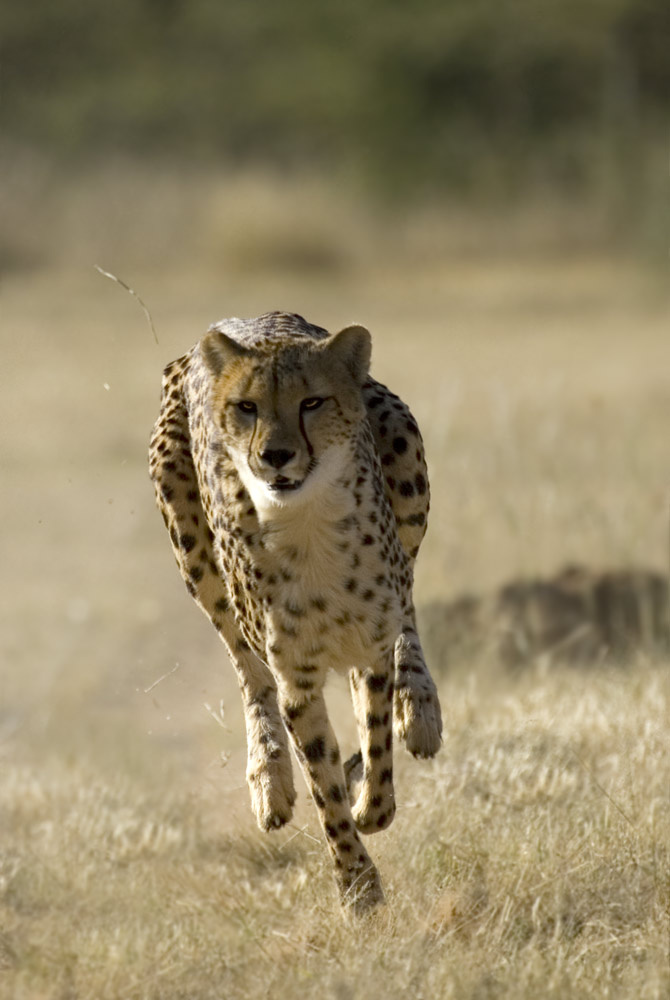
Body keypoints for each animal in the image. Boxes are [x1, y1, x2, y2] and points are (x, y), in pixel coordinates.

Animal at [149, 310, 442, 912]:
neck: (308, 523)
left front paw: (369, 798)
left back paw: (419, 708)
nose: (275, 456)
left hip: (404, 458)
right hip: (192, 551)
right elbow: (324, 786)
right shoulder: (297, 680)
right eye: (247, 407)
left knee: (407, 610)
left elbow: (375, 746)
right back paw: (269, 779)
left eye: (312, 402)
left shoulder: (369, 647)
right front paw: (358, 886)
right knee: (245, 667)